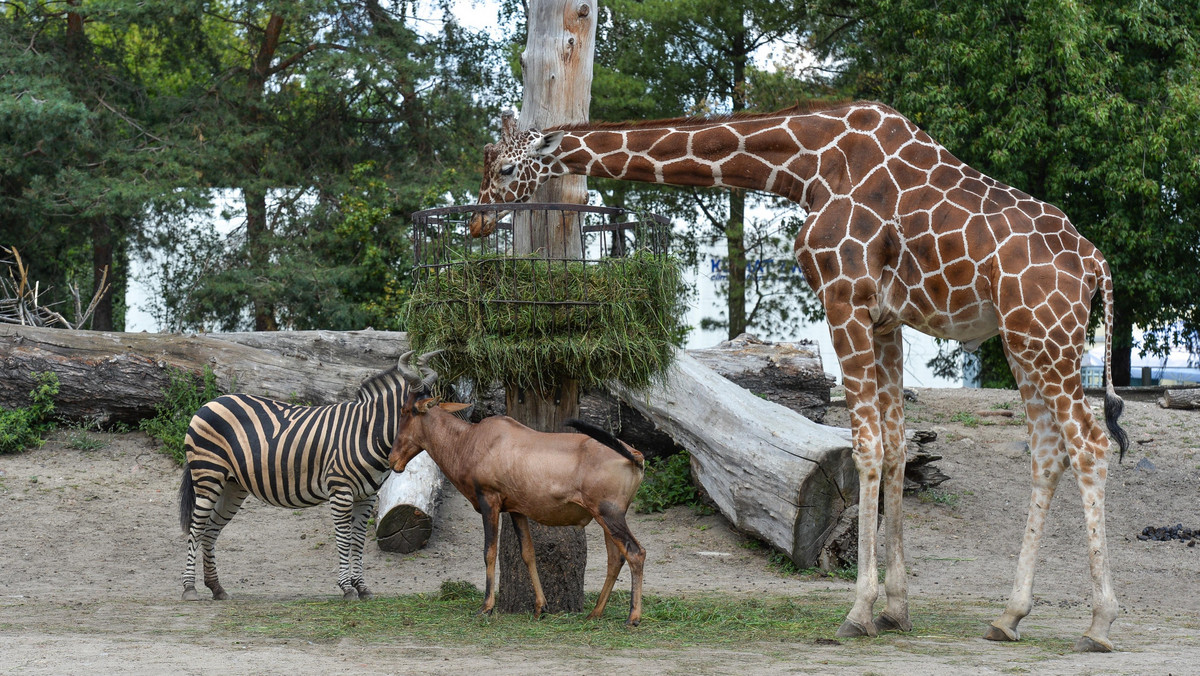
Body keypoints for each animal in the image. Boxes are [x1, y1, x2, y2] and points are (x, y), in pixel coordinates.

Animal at [177, 353, 441, 600]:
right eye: (413, 412)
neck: (366, 432)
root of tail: (210, 403)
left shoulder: (366, 495)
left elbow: (357, 541)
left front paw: (362, 587)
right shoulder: (340, 490)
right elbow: (344, 538)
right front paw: (347, 588)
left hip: (232, 486)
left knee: (210, 530)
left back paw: (216, 588)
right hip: (208, 475)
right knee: (196, 529)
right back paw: (189, 588)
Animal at [463, 102, 1128, 648]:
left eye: (506, 171)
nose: (476, 223)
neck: (805, 165)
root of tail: (1095, 262)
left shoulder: (843, 299)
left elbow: (866, 446)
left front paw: (858, 613)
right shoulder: (885, 319)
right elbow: (894, 449)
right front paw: (896, 609)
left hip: (1045, 335)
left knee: (1091, 444)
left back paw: (1099, 624)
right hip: (1025, 341)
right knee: (1049, 453)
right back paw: (1008, 617)